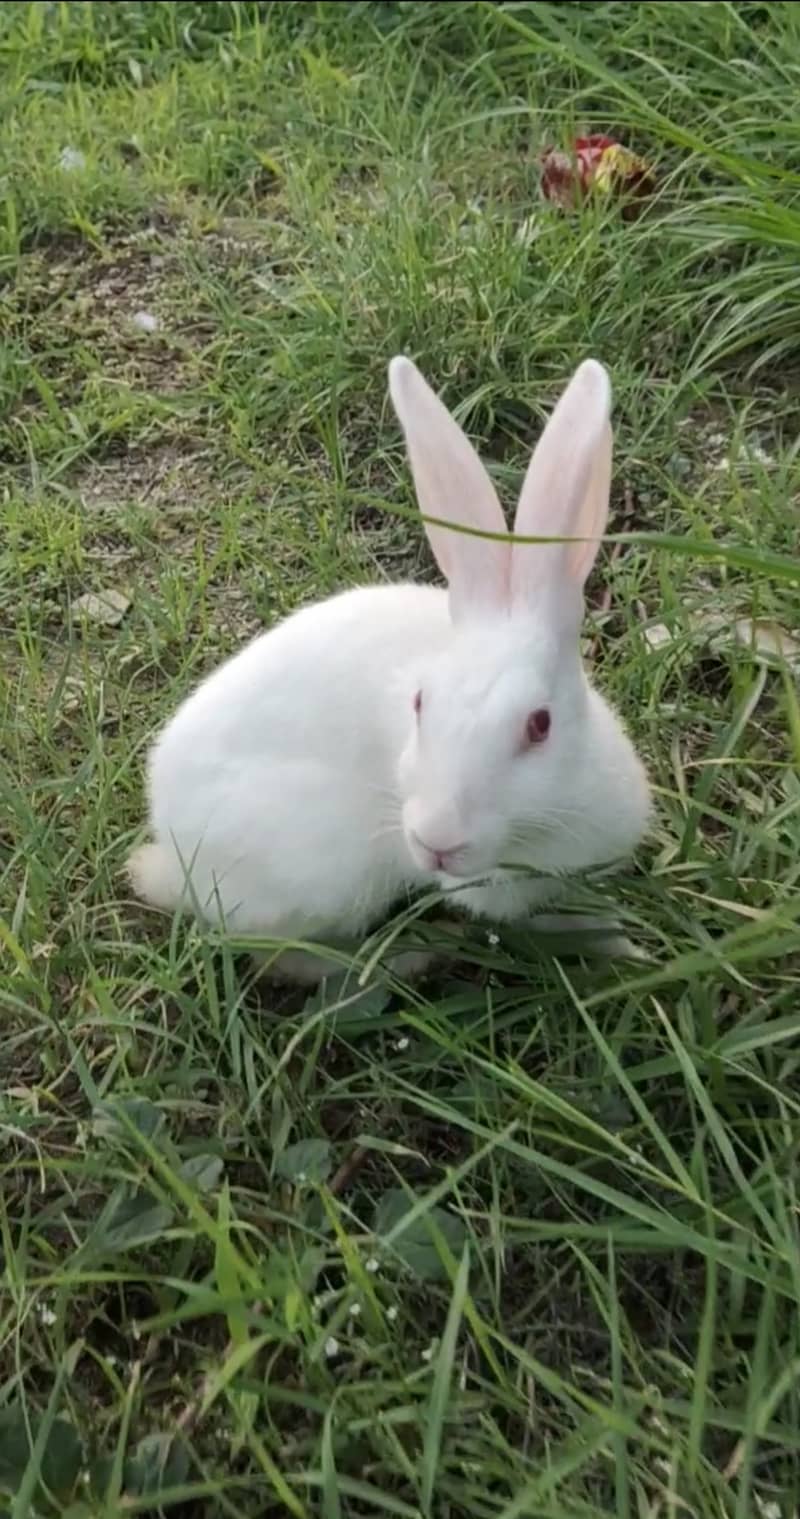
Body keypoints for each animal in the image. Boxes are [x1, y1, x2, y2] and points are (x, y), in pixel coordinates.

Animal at [126, 352, 649, 984]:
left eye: (539, 724)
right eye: (420, 705)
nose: (436, 842)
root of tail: (169, 853)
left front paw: (629, 949)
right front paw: (629, 951)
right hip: (321, 873)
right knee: (283, 956)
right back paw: (412, 956)